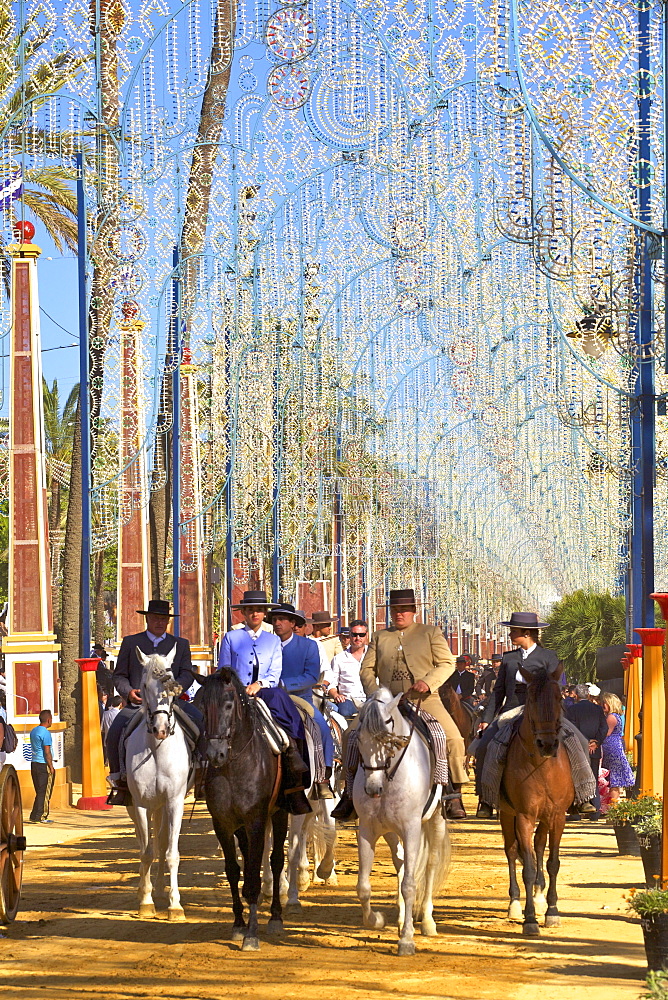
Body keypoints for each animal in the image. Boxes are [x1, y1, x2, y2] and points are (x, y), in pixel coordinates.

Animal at [194, 668, 286, 948]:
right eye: (201, 706)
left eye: (228, 705)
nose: (215, 754)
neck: (235, 765)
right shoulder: (223, 823)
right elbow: (234, 871)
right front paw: (237, 924)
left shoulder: (256, 820)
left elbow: (254, 874)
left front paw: (252, 934)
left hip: (280, 813)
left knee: (276, 860)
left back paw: (276, 916)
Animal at [352, 688, 452, 952]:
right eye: (359, 740)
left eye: (388, 742)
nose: (372, 789)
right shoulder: (367, 829)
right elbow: (363, 886)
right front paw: (376, 920)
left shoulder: (411, 829)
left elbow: (409, 884)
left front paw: (407, 939)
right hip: (391, 832)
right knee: (401, 864)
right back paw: (399, 920)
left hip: (435, 822)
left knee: (429, 865)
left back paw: (427, 922)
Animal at [500, 664, 576, 936]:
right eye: (531, 699)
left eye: (559, 698)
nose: (547, 743)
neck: (542, 766)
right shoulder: (524, 816)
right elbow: (529, 867)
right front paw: (530, 919)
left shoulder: (558, 816)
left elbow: (552, 862)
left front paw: (552, 910)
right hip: (507, 814)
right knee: (513, 851)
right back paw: (514, 904)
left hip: (545, 818)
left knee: (539, 846)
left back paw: (541, 897)